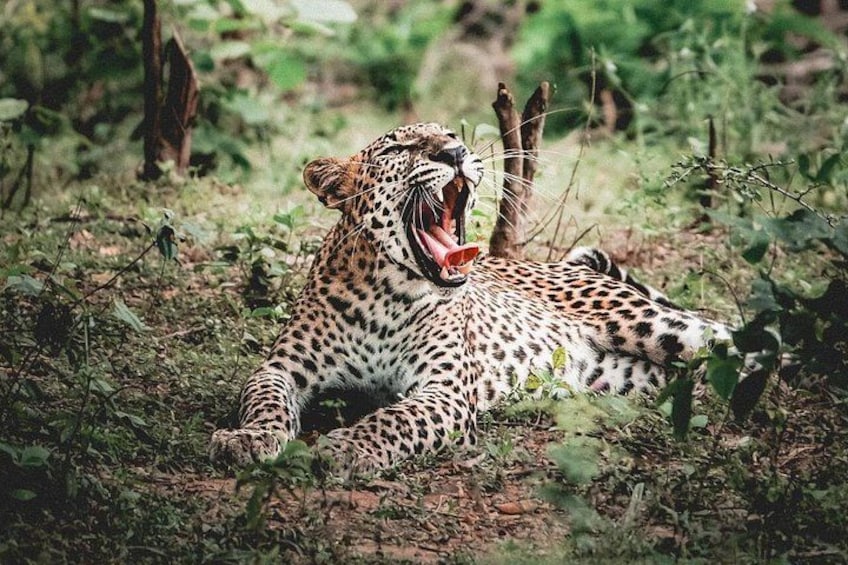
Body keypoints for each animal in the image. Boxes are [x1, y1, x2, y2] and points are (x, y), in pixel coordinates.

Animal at [209, 122, 731, 474]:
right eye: (398, 147)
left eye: (448, 134)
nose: (456, 151)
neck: (385, 294)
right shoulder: (282, 367)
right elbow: (264, 399)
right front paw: (248, 438)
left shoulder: (444, 388)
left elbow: (394, 420)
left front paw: (347, 447)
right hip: (626, 378)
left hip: (655, 325)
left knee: (727, 339)